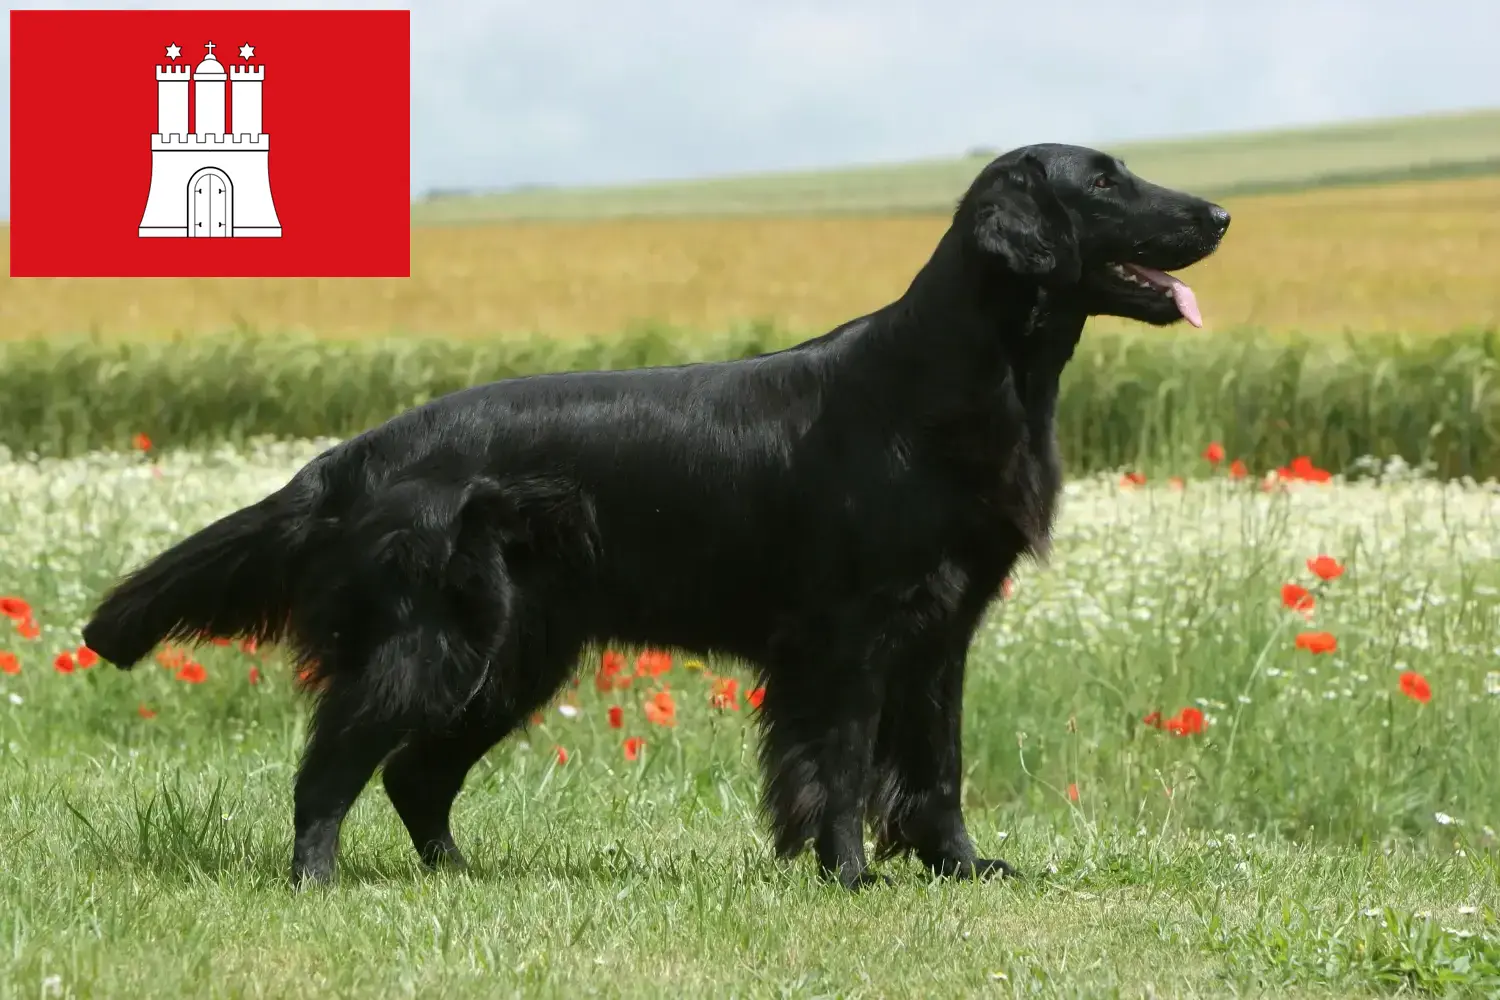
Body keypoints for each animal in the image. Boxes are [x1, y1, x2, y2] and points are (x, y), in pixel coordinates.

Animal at [85, 142, 1230, 893]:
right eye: (1105, 181)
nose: (1220, 214)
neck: (958, 381)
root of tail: (353, 455)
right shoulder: (848, 635)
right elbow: (840, 768)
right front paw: (851, 876)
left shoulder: (941, 633)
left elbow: (936, 770)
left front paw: (964, 867)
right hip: (433, 643)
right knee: (331, 769)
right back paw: (319, 882)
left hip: (514, 655)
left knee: (415, 774)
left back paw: (464, 875)